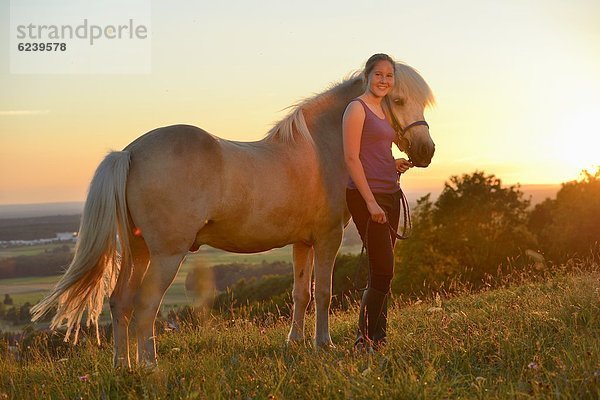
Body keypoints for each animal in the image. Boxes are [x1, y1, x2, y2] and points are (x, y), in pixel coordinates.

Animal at [31, 61, 436, 368]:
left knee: (120, 303)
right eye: (396, 98)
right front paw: (323, 344)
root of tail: (129, 152)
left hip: (140, 251)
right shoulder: (328, 238)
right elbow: (323, 293)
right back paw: (149, 366)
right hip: (166, 255)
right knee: (145, 307)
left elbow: (300, 294)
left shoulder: (302, 243)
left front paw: (295, 342)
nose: (426, 151)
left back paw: (122, 366)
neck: (323, 147)